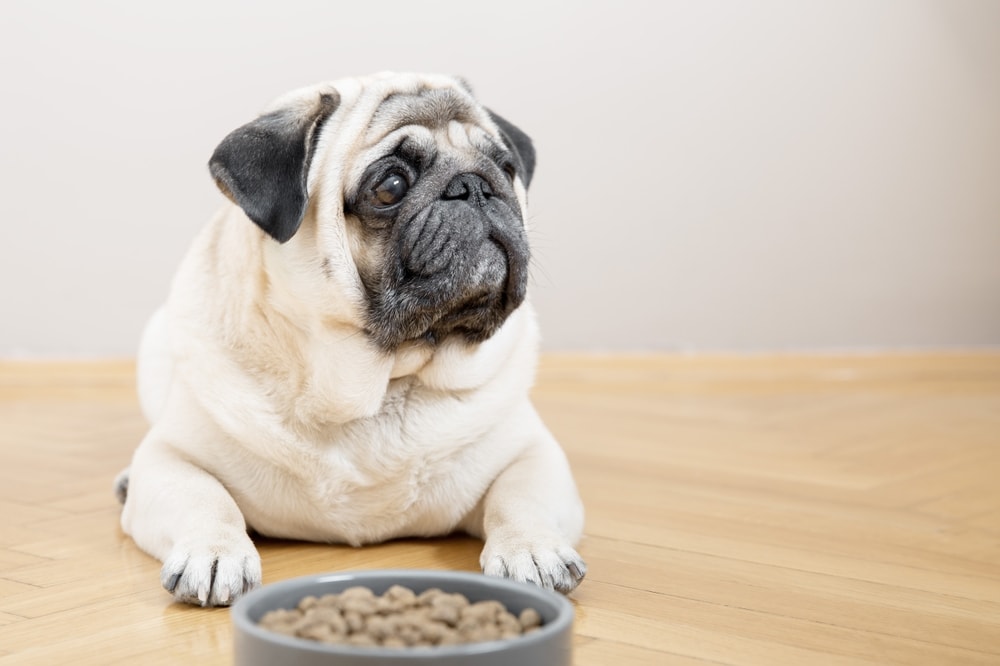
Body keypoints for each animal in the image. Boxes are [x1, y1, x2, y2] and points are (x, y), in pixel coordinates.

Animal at [116, 74, 584, 608]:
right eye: (390, 187)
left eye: (507, 169)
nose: (475, 186)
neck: (383, 381)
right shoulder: (172, 458)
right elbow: (204, 497)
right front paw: (213, 552)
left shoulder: (534, 454)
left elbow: (521, 495)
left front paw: (533, 549)